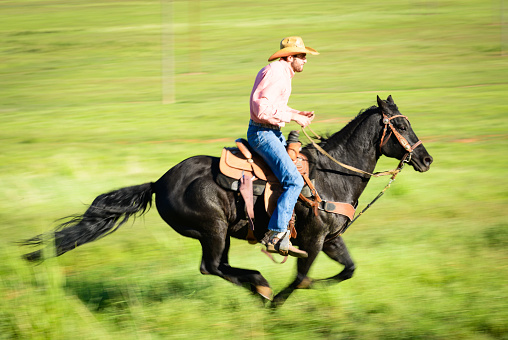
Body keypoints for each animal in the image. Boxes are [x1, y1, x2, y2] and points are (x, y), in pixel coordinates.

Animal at [20, 95, 432, 306]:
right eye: (402, 124)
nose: (426, 159)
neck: (332, 175)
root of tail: (159, 182)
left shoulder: (331, 239)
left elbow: (347, 270)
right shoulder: (313, 239)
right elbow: (301, 277)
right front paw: (278, 302)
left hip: (220, 233)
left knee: (220, 266)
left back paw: (258, 285)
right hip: (212, 229)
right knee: (212, 267)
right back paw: (261, 286)